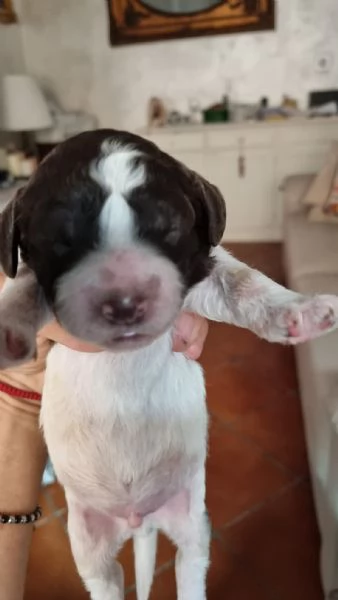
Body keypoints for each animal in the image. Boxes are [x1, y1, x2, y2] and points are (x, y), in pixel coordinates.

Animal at [0, 127, 338, 600]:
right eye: (62, 240)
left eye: (168, 230)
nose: (125, 303)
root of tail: (138, 519)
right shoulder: (37, 281)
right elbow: (21, 289)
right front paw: (6, 327)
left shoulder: (200, 273)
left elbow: (245, 283)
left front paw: (302, 311)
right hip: (88, 542)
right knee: (107, 579)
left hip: (194, 523)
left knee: (188, 565)